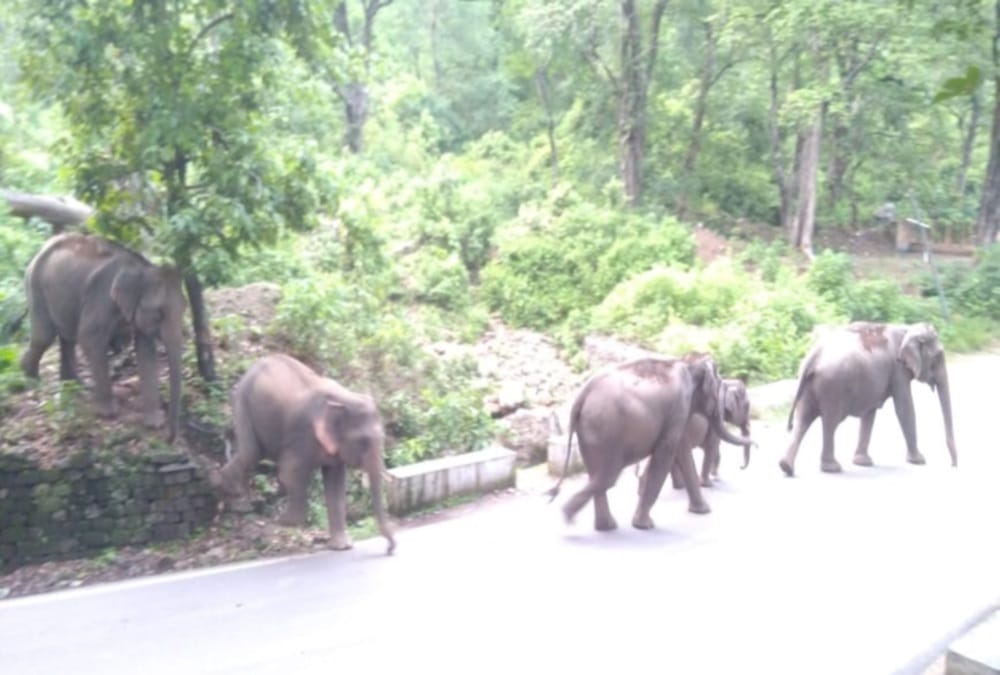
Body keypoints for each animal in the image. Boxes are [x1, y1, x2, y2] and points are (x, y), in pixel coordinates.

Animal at [21, 233, 187, 441]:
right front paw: (108, 413)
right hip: (36, 285)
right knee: (45, 336)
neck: (143, 268)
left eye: (184, 310)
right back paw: (31, 380)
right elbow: (89, 338)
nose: (170, 438)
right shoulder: (102, 298)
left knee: (67, 337)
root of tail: (42, 248)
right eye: (160, 314)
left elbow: (146, 352)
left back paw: (75, 385)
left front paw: (154, 423)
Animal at [211, 353, 396, 555]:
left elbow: (336, 483)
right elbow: (290, 474)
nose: (389, 549)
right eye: (362, 442)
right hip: (242, 401)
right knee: (250, 453)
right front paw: (280, 521)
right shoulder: (302, 434)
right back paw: (224, 488)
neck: (342, 398)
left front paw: (342, 547)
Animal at [547, 352, 755, 532]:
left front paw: (703, 510)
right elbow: (666, 454)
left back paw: (602, 526)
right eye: (746, 406)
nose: (756, 444)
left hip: (589, 433)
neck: (687, 362)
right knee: (608, 476)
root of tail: (581, 397)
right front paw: (644, 525)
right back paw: (569, 515)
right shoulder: (679, 405)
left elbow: (680, 451)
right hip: (605, 430)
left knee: (597, 476)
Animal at [779, 321, 956, 477]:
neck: (908, 329)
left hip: (810, 387)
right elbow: (904, 407)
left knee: (803, 420)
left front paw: (863, 462)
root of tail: (813, 357)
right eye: (938, 356)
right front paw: (919, 460)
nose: (953, 465)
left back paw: (786, 467)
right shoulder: (898, 369)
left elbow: (869, 413)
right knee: (829, 422)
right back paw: (832, 468)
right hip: (833, 387)